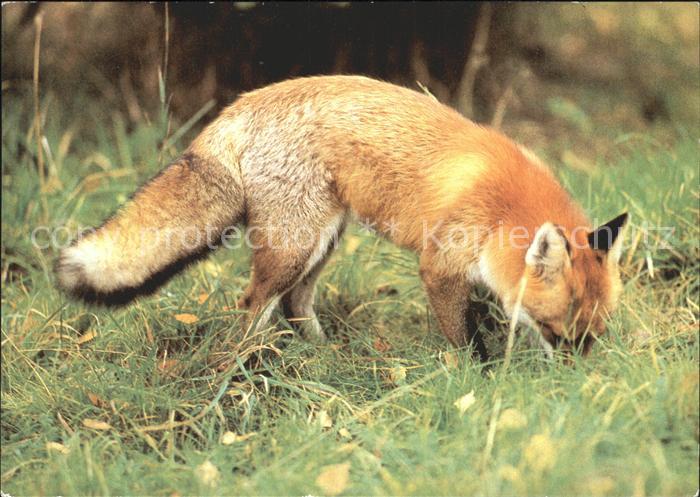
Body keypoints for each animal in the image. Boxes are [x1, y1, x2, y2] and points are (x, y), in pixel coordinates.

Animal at [55, 75, 628, 360]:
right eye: (557, 331)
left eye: (595, 334)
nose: (575, 383)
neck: (506, 206)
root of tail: (235, 109)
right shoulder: (439, 268)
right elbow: (467, 340)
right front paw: (481, 378)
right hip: (296, 245)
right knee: (254, 304)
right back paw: (246, 367)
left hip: (323, 240)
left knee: (294, 304)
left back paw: (325, 358)